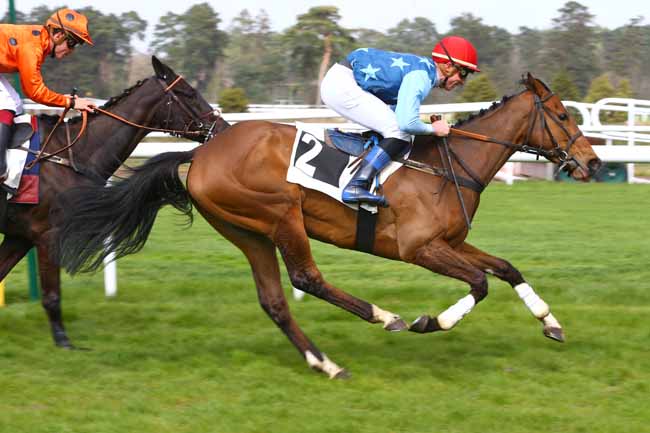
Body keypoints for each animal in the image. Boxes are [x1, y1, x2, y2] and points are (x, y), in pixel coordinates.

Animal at [0, 56, 228, 349]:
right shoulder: (47, 235)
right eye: (189, 93)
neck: (70, 154)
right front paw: (64, 342)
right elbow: (52, 295)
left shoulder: (20, 236)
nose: (223, 129)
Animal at [55, 73, 601, 377]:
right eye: (560, 115)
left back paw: (326, 363)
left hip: (247, 231)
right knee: (306, 278)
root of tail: (203, 150)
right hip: (280, 215)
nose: (593, 163)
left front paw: (551, 323)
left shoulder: (450, 242)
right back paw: (385, 316)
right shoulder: (420, 249)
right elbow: (480, 283)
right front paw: (431, 321)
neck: (447, 167)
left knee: (275, 300)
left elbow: (505, 268)